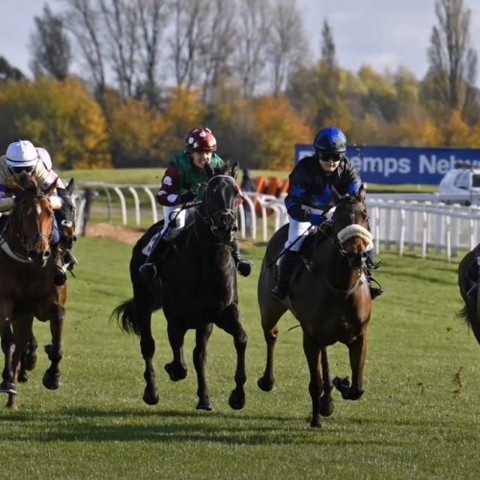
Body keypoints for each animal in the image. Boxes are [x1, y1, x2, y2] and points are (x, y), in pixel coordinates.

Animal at [0, 172, 70, 408]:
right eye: (25, 214)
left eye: (50, 213)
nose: (41, 253)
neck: (27, 265)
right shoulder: (5, 301)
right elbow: (8, 341)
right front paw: (8, 381)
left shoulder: (45, 304)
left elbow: (57, 333)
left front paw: (53, 376)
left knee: (22, 343)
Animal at [256, 187, 374, 428]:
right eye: (337, 219)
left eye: (365, 215)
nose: (357, 255)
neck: (341, 286)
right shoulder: (310, 337)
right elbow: (315, 383)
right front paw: (315, 419)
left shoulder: (359, 336)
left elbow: (358, 388)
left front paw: (341, 385)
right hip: (270, 308)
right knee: (271, 333)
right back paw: (267, 381)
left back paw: (327, 399)